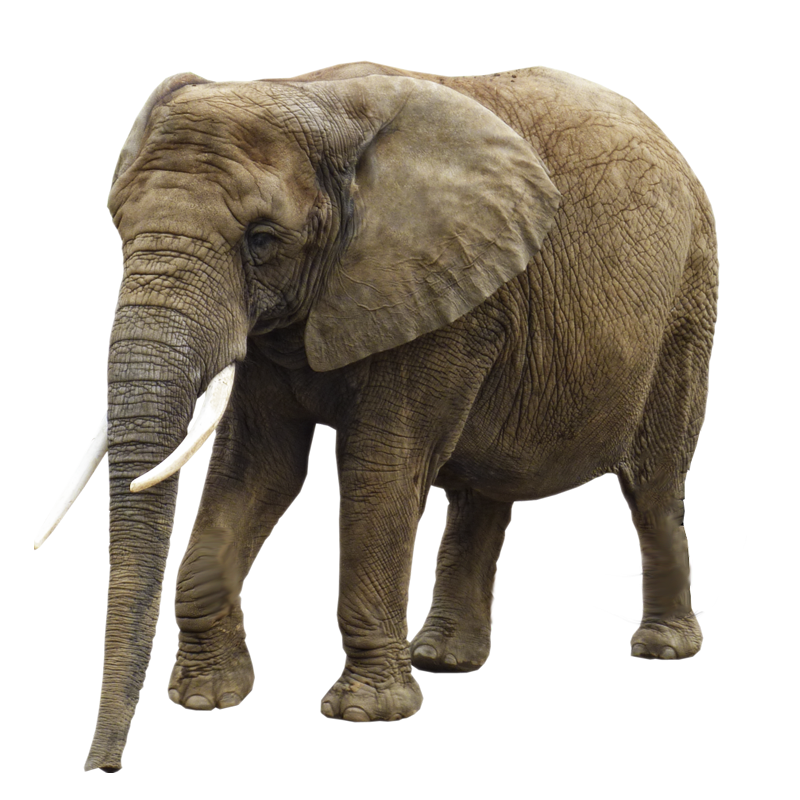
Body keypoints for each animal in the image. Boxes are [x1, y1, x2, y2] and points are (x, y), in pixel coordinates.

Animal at [77, 62, 717, 769]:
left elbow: (381, 469)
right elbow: (260, 468)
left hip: (686, 298)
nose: (107, 761)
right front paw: (206, 699)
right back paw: (444, 660)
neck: (322, 102)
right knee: (482, 489)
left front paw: (366, 713)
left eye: (262, 240)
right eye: (118, 223)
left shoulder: (439, 290)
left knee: (652, 481)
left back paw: (662, 648)